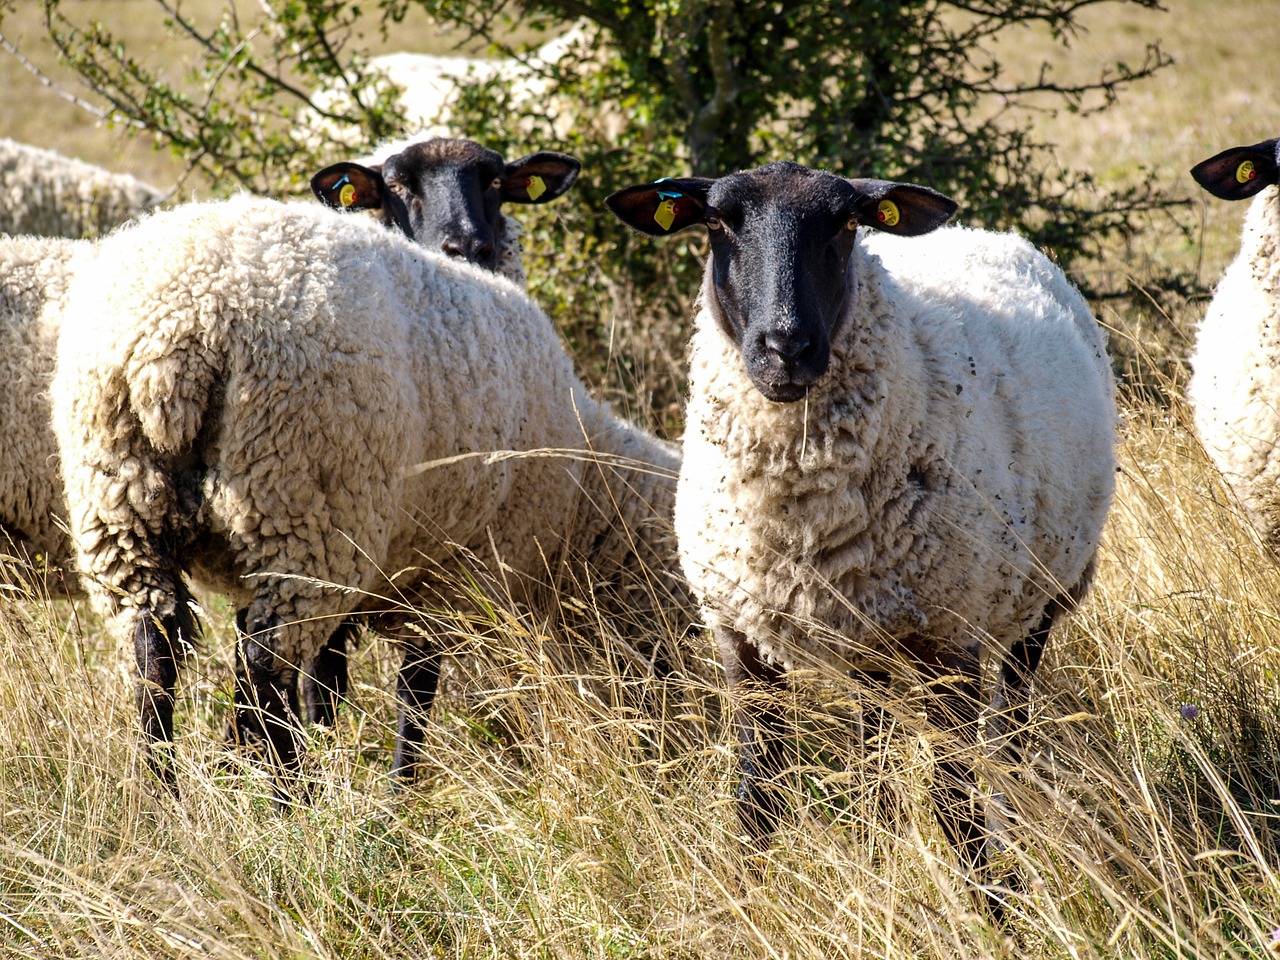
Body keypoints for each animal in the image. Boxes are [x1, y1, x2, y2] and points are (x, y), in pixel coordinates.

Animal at [53, 192, 691, 783]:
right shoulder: (455, 579)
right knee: (265, 670)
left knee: (153, 652)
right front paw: (400, 792)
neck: (582, 501)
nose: (678, 752)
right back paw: (287, 800)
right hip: (303, 506)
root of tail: (176, 334)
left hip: (118, 503)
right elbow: (416, 689)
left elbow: (320, 683)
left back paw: (165, 797)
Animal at [604, 165, 1116, 911]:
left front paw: (992, 906)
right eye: (716, 222)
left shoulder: (949, 639)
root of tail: (989, 233)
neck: (800, 511)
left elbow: (955, 802)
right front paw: (751, 898)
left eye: (847, 223)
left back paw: (1014, 822)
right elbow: (755, 794)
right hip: (869, 631)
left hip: (1037, 598)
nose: (785, 349)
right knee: (874, 743)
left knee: (1012, 729)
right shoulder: (737, 633)